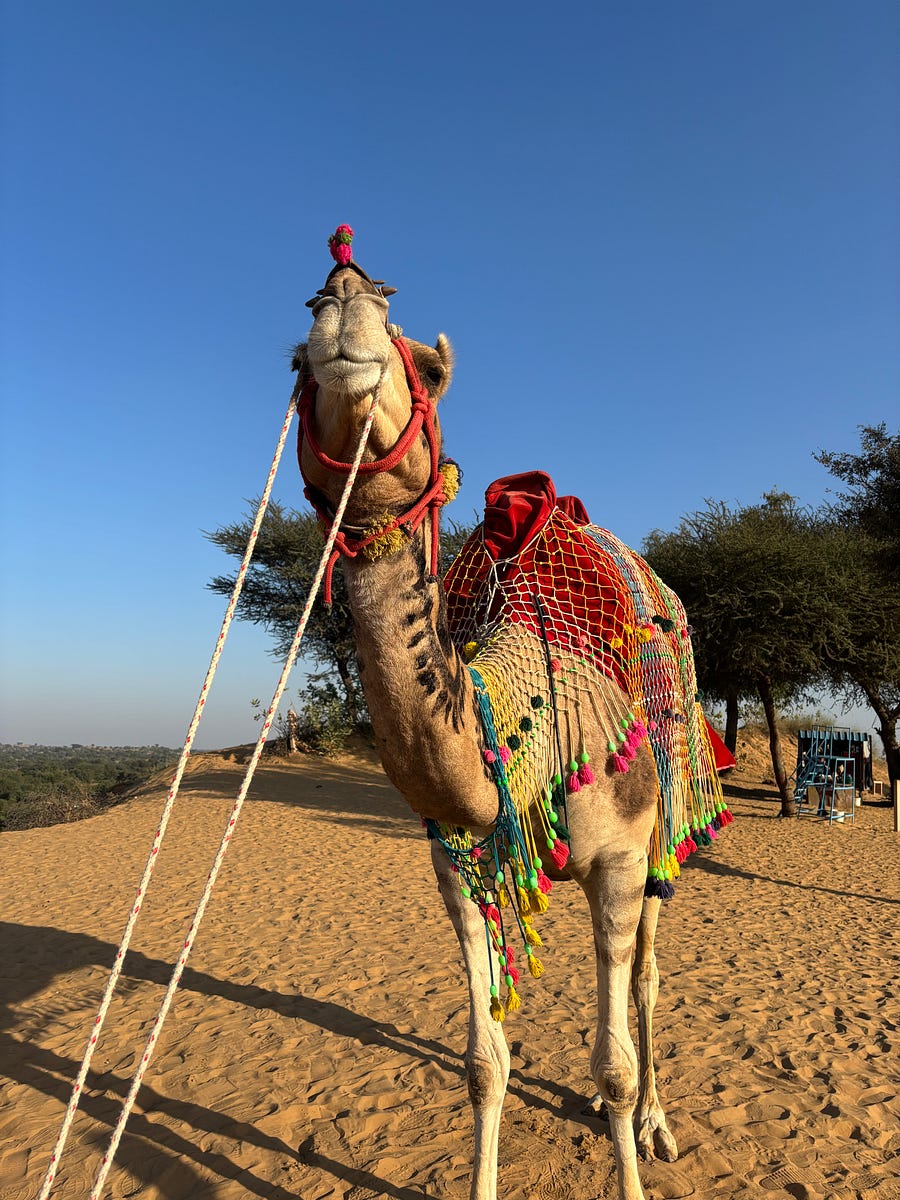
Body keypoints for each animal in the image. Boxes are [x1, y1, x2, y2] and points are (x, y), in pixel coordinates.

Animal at [292, 235, 728, 1200]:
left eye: (428, 369)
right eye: (296, 362)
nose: (342, 291)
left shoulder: (618, 859)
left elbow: (614, 1063)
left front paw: (631, 1136)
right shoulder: (459, 866)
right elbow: (482, 1062)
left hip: (665, 826)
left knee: (647, 975)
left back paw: (659, 1124)